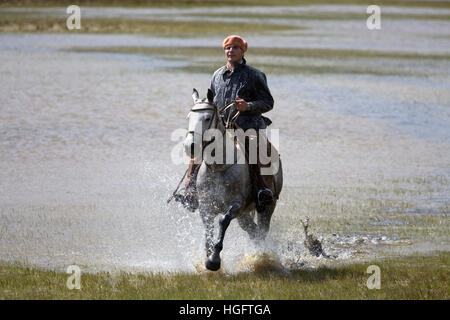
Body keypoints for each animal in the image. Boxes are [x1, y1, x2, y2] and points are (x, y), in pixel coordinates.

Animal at [182, 89, 282, 272]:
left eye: (207, 118)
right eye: (189, 117)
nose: (189, 146)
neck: (219, 167)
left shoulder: (236, 204)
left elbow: (223, 220)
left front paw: (214, 260)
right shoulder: (206, 206)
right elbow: (208, 229)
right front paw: (208, 255)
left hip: (267, 206)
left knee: (262, 231)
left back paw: (262, 256)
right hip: (244, 215)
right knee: (253, 231)